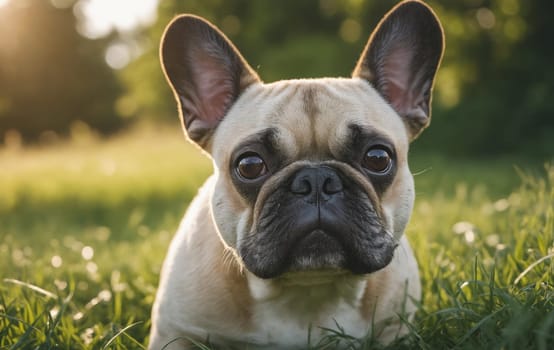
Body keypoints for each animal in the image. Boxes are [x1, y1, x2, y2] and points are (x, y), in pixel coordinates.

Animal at [149, 1, 442, 348]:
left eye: (377, 158)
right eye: (250, 165)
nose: (316, 181)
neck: (306, 291)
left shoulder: (395, 328)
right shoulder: (176, 332)